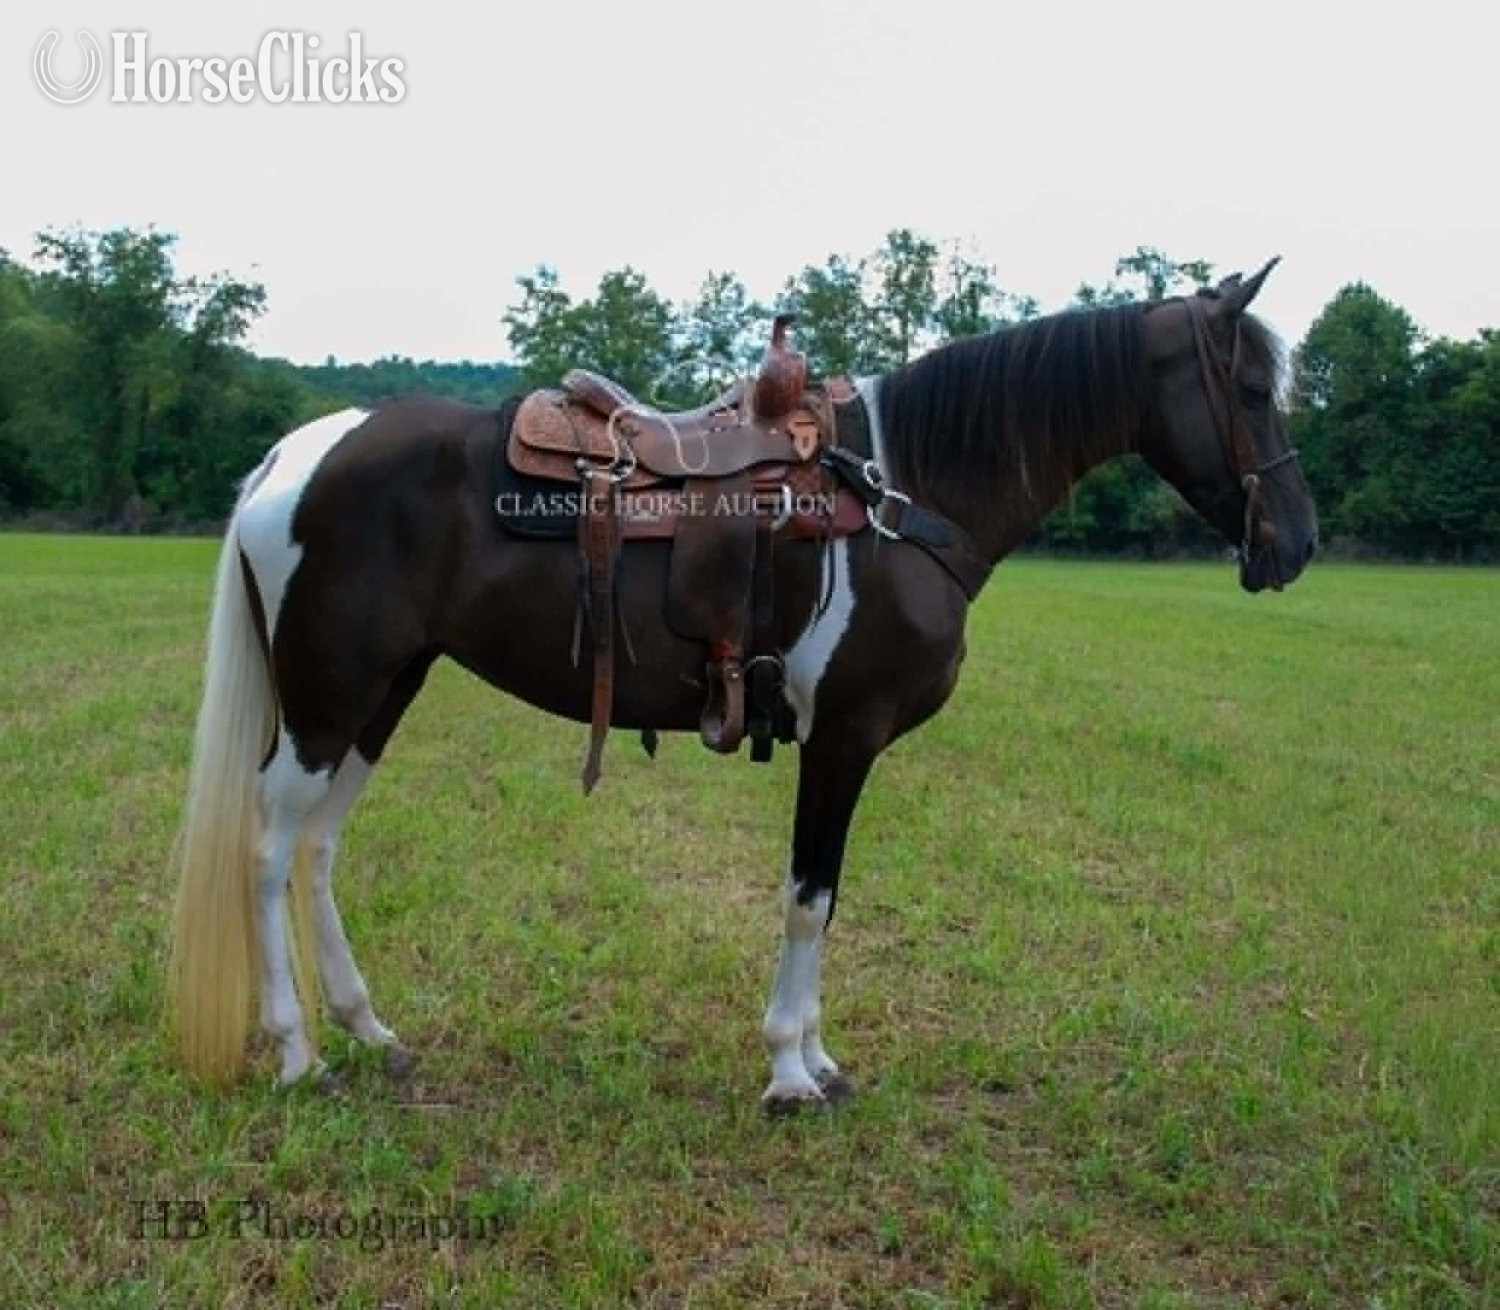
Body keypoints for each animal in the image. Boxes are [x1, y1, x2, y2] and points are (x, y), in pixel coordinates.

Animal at [167, 260, 1317, 1111]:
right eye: (1252, 389)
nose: (1298, 542)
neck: (900, 497)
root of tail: (293, 456)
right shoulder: (843, 736)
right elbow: (809, 900)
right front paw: (790, 1070)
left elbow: (826, 898)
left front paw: (817, 1056)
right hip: (328, 698)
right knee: (268, 848)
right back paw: (297, 1053)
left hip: (379, 694)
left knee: (318, 847)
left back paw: (369, 1029)